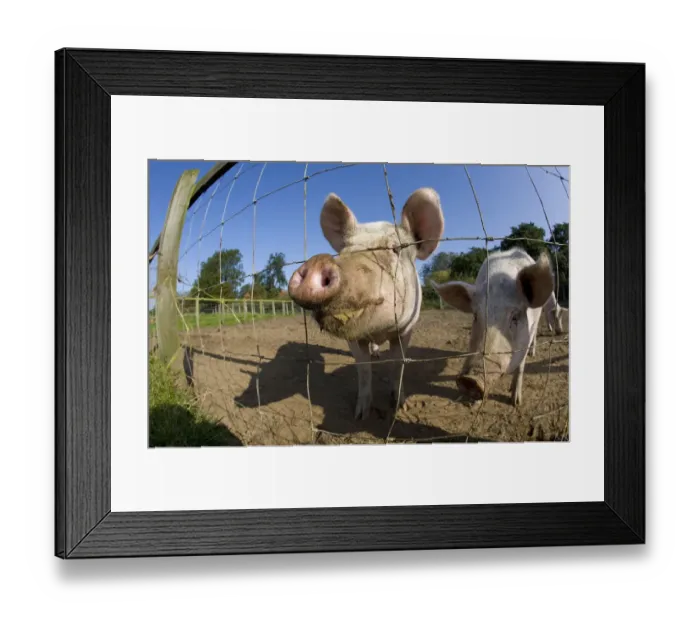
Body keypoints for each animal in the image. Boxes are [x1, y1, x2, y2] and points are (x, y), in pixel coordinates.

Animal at [287, 188, 445, 420]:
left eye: (395, 249)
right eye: (344, 250)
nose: (318, 261)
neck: (380, 330)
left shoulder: (406, 329)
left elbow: (397, 366)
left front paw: (401, 407)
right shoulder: (354, 339)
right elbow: (363, 369)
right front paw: (361, 415)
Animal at [430, 247, 555, 407]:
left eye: (515, 317)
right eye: (476, 316)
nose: (470, 380)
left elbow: (520, 366)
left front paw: (516, 402)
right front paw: (475, 404)